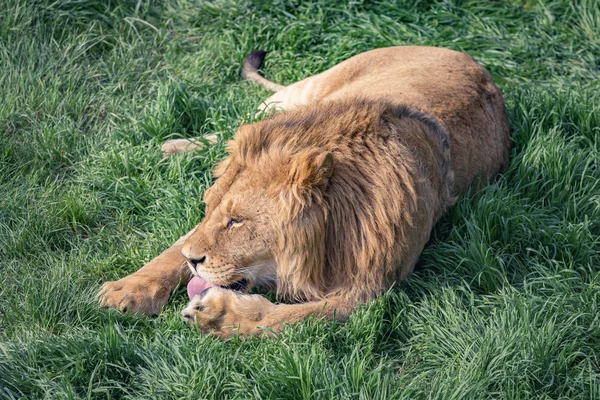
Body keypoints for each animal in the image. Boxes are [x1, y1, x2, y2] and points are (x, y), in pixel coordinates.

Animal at [99, 48, 510, 340]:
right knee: (236, 121)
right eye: (209, 208)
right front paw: (127, 290)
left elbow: (290, 318)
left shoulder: (369, 291)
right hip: (303, 94)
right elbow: (171, 252)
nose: (194, 259)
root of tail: (473, 61)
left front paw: (217, 315)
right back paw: (171, 147)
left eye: (236, 221)